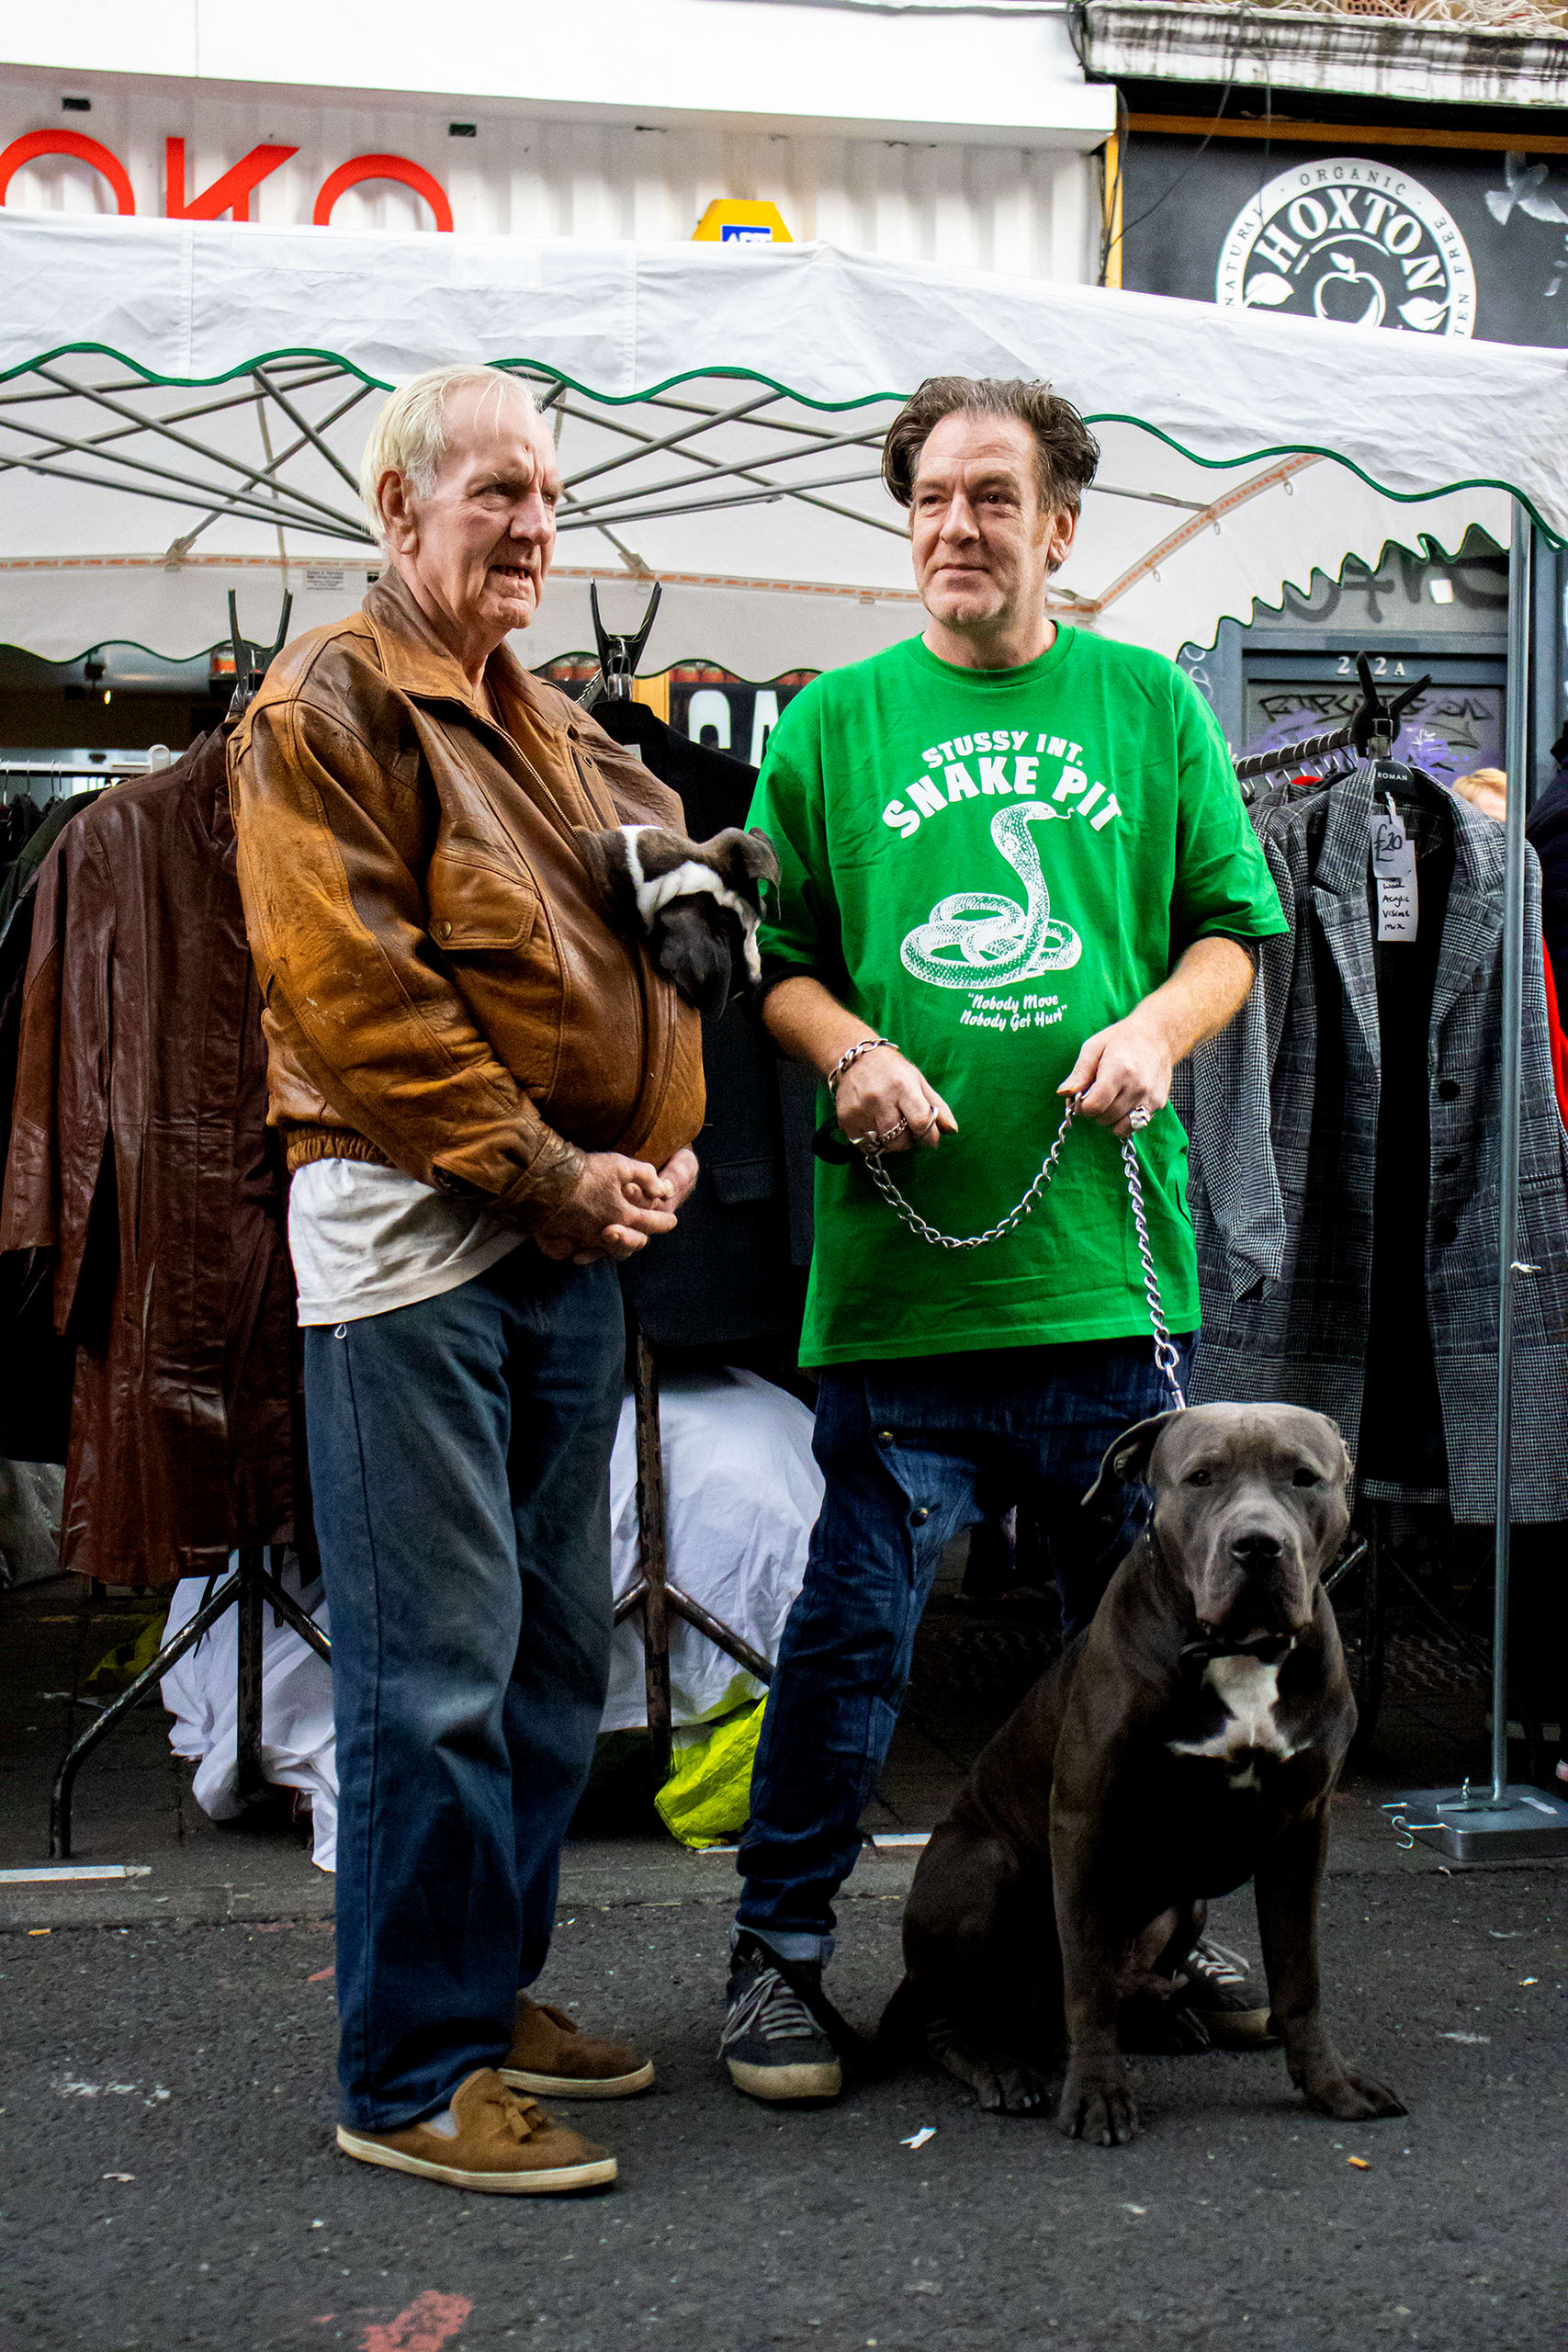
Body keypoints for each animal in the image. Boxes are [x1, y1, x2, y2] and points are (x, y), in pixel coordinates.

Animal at [884, 1392, 1410, 2154]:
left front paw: (1330, 2084)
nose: (1257, 1545)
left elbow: (1299, 1975)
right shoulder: (1084, 1820)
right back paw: (1002, 2068)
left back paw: (1165, 2017)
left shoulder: (1302, 1828)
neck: (1239, 1652)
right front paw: (1097, 2094)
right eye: (1201, 1478)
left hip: (1185, 1905)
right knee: (951, 2017)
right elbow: (1085, 1981)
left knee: (1128, 1982)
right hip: (983, 1866)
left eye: (1303, 1478)